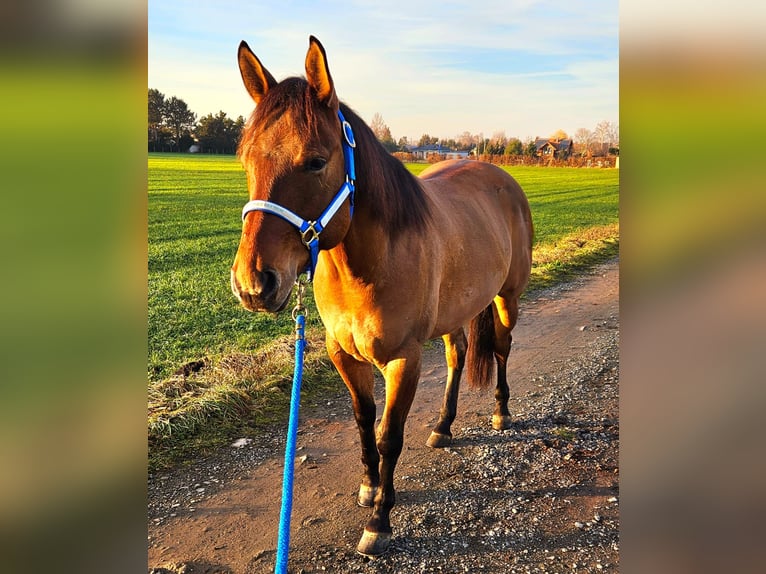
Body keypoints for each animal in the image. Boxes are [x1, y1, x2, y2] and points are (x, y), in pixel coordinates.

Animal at [231, 36, 536, 560]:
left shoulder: (403, 359)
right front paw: (370, 486)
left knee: (500, 348)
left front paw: (379, 520)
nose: (254, 284)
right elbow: (363, 421)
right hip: (455, 311)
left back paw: (500, 411)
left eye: (316, 160)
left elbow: (390, 435)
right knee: (457, 355)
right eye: (246, 158)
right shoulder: (343, 354)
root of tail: (498, 174)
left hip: (506, 298)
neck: (366, 268)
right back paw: (443, 426)